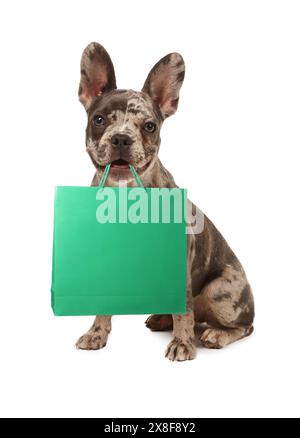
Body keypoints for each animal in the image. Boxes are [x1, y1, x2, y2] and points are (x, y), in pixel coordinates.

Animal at [75, 42, 253, 362]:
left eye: (149, 126)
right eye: (99, 120)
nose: (121, 138)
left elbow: (184, 311)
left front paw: (182, 343)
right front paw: (96, 333)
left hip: (221, 291)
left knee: (242, 325)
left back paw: (215, 334)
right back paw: (162, 318)